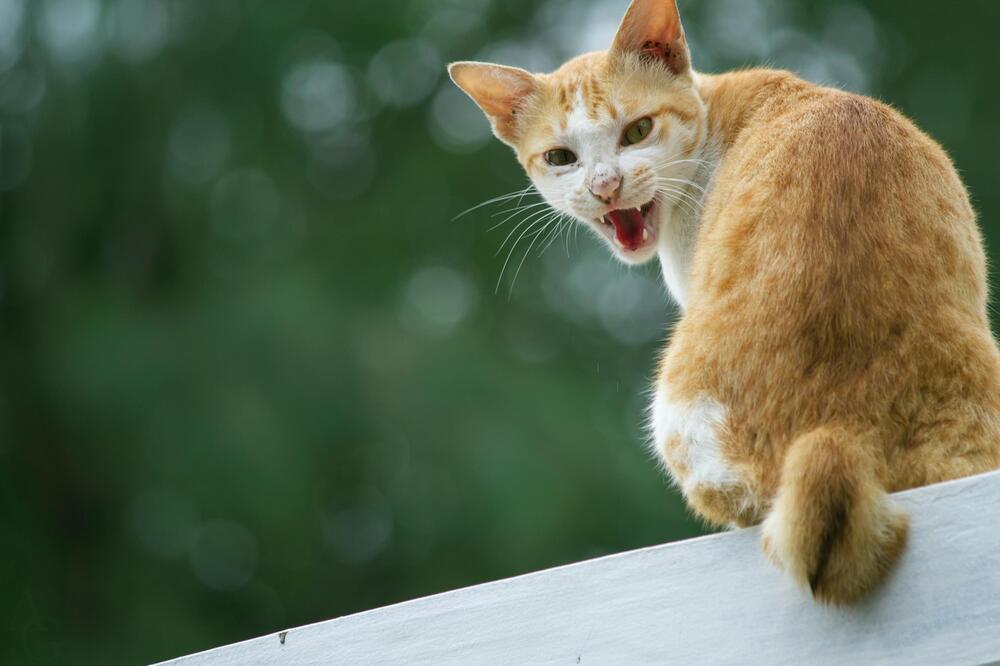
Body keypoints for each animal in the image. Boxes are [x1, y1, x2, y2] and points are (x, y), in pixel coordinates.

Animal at [450, 0, 1000, 600]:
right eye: (560, 157)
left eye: (637, 131)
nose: (605, 187)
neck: (713, 119)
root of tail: (846, 433)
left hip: (675, 409)